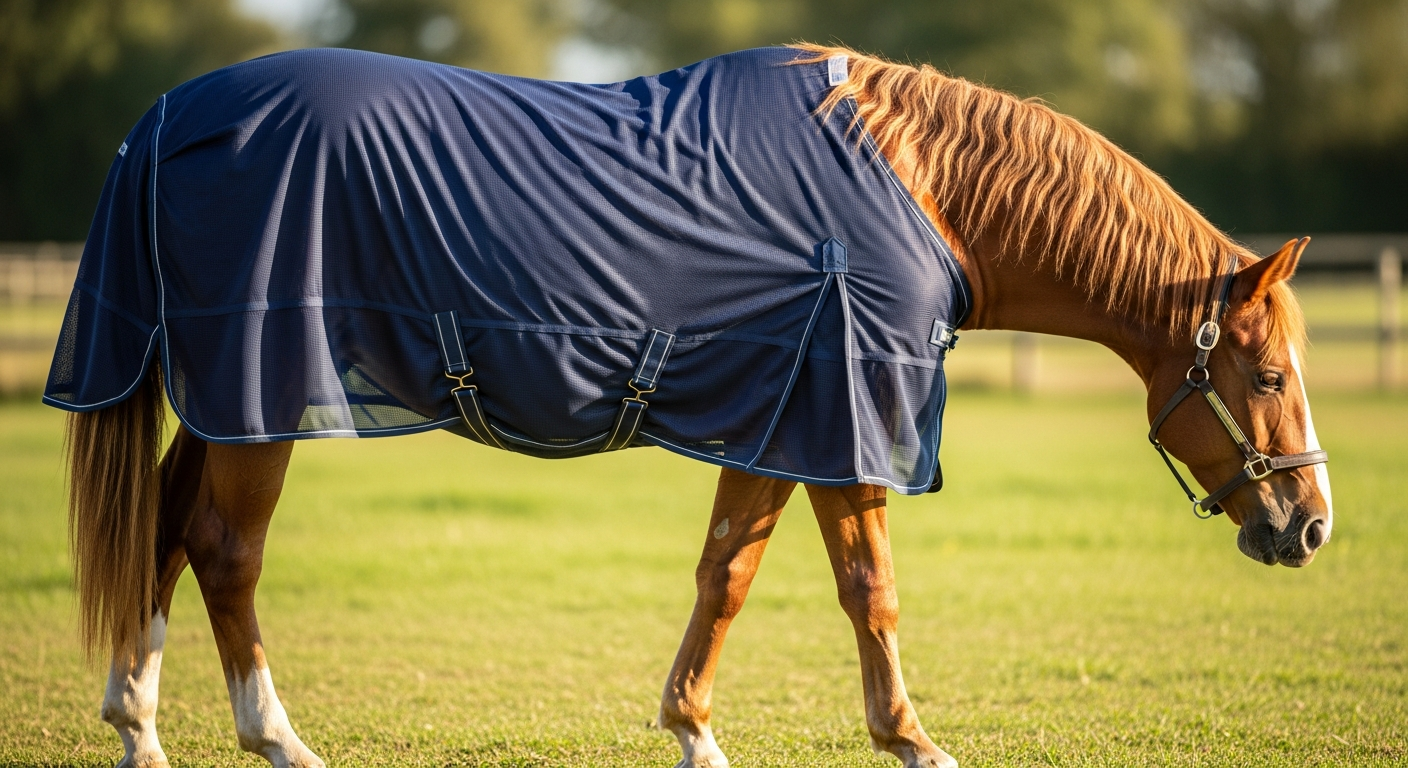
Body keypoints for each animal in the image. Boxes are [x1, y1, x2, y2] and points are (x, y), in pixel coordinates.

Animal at [54, 44, 1332, 768]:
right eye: (1269, 377)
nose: (1310, 525)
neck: (921, 186)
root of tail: (170, 119)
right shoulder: (845, 422)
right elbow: (869, 590)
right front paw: (912, 741)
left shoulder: (780, 424)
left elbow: (728, 573)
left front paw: (694, 731)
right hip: (262, 400)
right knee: (223, 551)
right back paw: (276, 738)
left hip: (221, 406)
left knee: (161, 536)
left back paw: (139, 730)